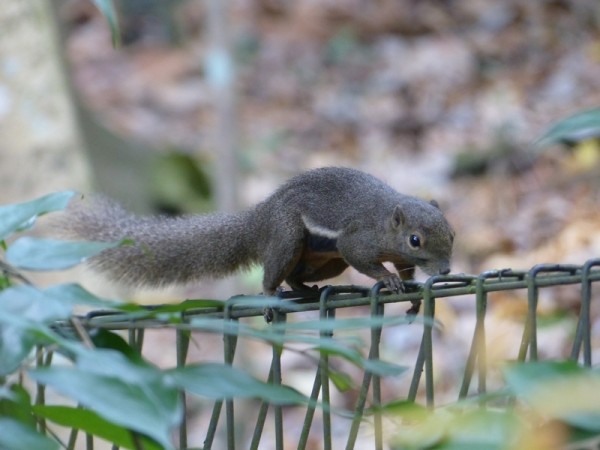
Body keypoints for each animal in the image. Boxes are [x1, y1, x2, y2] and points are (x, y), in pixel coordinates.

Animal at [63, 167, 454, 311]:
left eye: (451, 233)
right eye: (415, 240)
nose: (446, 270)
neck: (386, 220)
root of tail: (260, 220)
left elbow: (406, 271)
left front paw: (411, 293)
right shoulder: (358, 240)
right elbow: (363, 256)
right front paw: (387, 279)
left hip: (323, 263)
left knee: (296, 277)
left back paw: (306, 290)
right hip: (287, 237)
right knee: (275, 274)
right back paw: (270, 296)